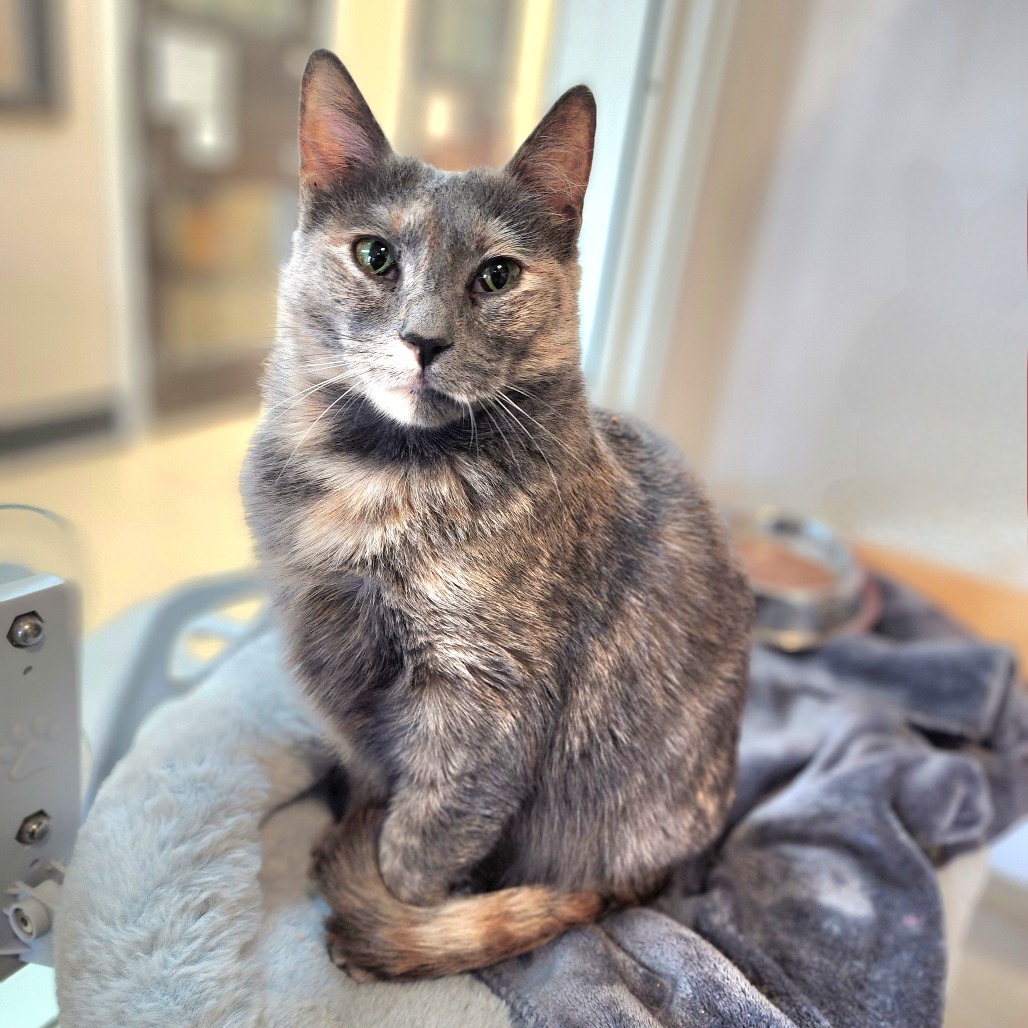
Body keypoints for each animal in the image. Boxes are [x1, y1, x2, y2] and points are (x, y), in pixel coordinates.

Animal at [242, 49, 753, 980]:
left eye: (498, 275)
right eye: (374, 254)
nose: (424, 339)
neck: (375, 480)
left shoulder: (485, 706)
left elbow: (419, 843)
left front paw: (390, 918)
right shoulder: (340, 677)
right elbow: (373, 782)